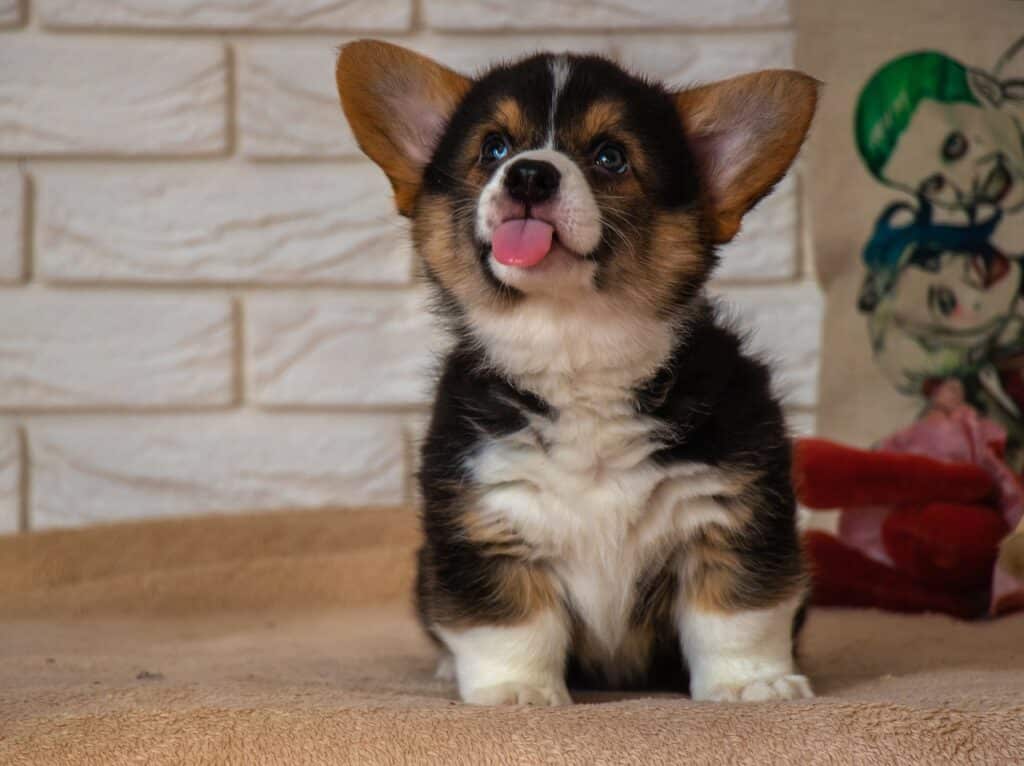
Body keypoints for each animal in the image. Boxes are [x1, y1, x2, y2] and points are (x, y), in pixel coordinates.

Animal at [339, 41, 819, 704]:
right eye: (494, 148)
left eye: (610, 156)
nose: (529, 174)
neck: (574, 347)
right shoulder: (486, 522)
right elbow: (510, 625)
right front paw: (516, 692)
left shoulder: (733, 515)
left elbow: (736, 616)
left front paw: (754, 685)